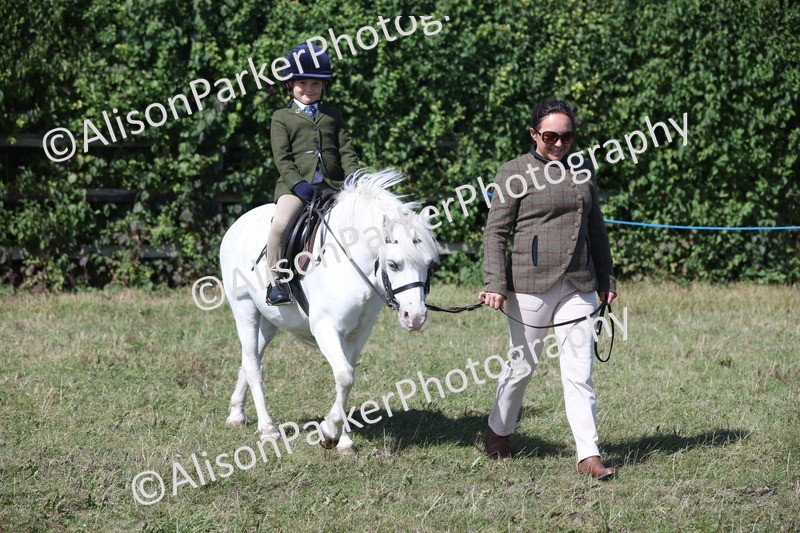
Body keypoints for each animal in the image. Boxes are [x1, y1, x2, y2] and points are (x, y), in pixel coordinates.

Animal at [219, 170, 439, 452]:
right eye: (393, 264)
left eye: (429, 264)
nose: (416, 317)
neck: (352, 264)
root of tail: (237, 224)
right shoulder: (325, 328)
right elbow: (345, 376)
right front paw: (328, 431)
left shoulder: (358, 333)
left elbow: (347, 377)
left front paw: (342, 440)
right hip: (245, 310)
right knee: (253, 365)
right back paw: (267, 430)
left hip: (270, 321)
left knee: (250, 360)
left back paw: (236, 414)